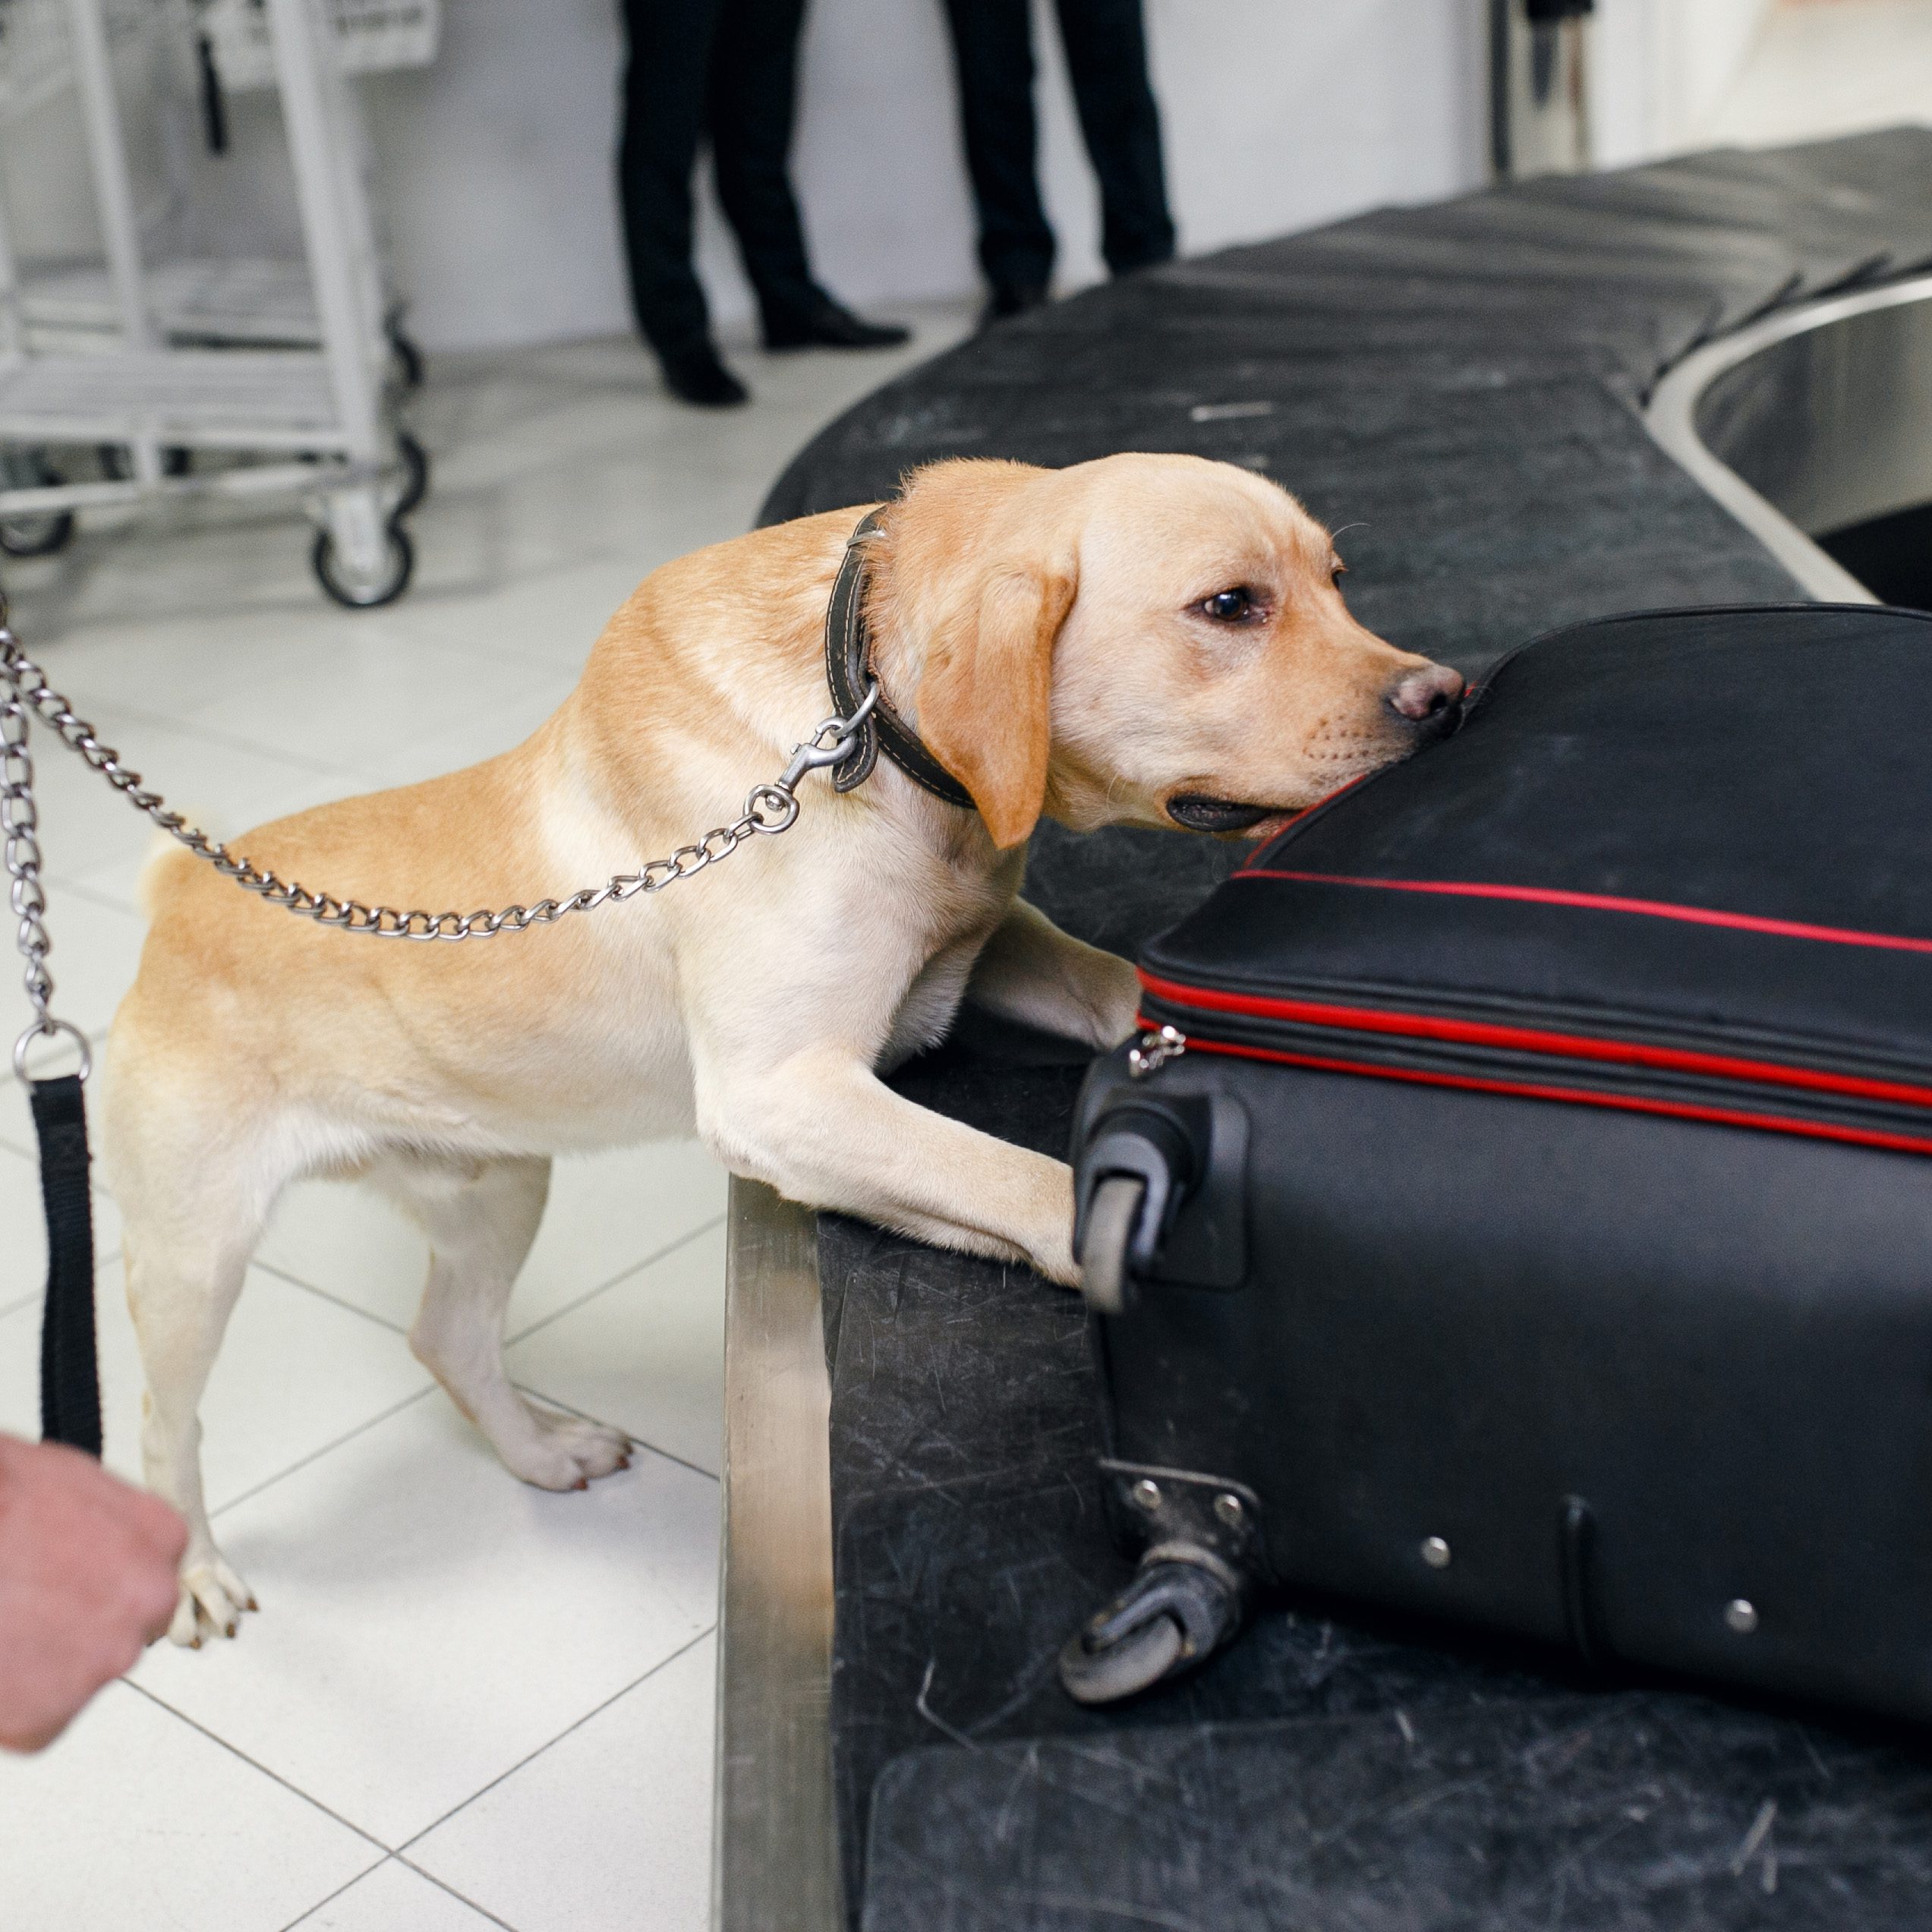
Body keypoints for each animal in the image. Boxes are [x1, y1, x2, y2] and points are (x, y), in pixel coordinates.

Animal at [106, 455, 1452, 1646]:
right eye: (1230, 605)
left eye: (1337, 578)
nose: (1444, 698)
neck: (864, 718)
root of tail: (180, 889)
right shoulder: (782, 1096)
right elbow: (1015, 1177)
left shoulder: (987, 952)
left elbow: (1111, 985)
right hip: (193, 1259)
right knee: (167, 1426)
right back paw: (193, 1576)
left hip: (496, 1188)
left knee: (447, 1338)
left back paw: (542, 1452)